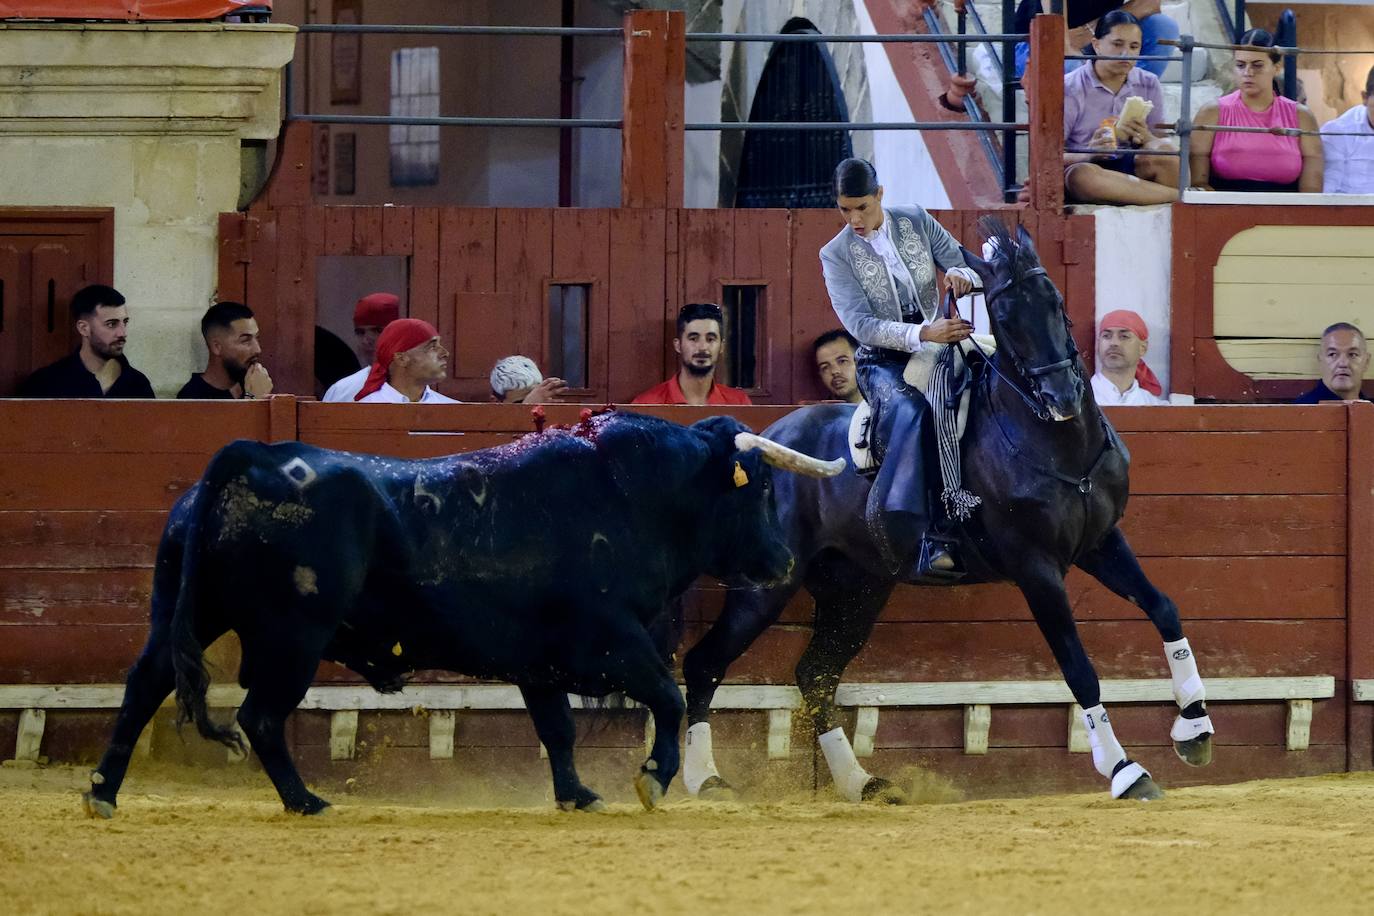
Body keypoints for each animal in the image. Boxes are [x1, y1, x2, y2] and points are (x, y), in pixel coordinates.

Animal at [85, 414, 840, 818]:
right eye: (758, 489)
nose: (782, 561)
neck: (631, 494)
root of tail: (251, 458)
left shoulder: (538, 661)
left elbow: (558, 729)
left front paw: (577, 795)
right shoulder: (611, 639)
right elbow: (668, 696)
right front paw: (652, 779)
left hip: (188, 612)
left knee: (144, 684)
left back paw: (102, 792)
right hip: (294, 636)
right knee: (261, 716)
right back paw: (307, 801)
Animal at [678, 219, 1214, 802]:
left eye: (1055, 301)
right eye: (1006, 318)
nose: (1063, 396)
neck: (1058, 446)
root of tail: (758, 442)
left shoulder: (1100, 541)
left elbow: (1163, 607)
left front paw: (1194, 728)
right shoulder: (1035, 567)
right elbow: (1078, 666)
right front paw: (1124, 770)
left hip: (859, 590)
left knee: (815, 674)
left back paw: (860, 782)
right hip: (766, 588)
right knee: (705, 664)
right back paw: (705, 778)